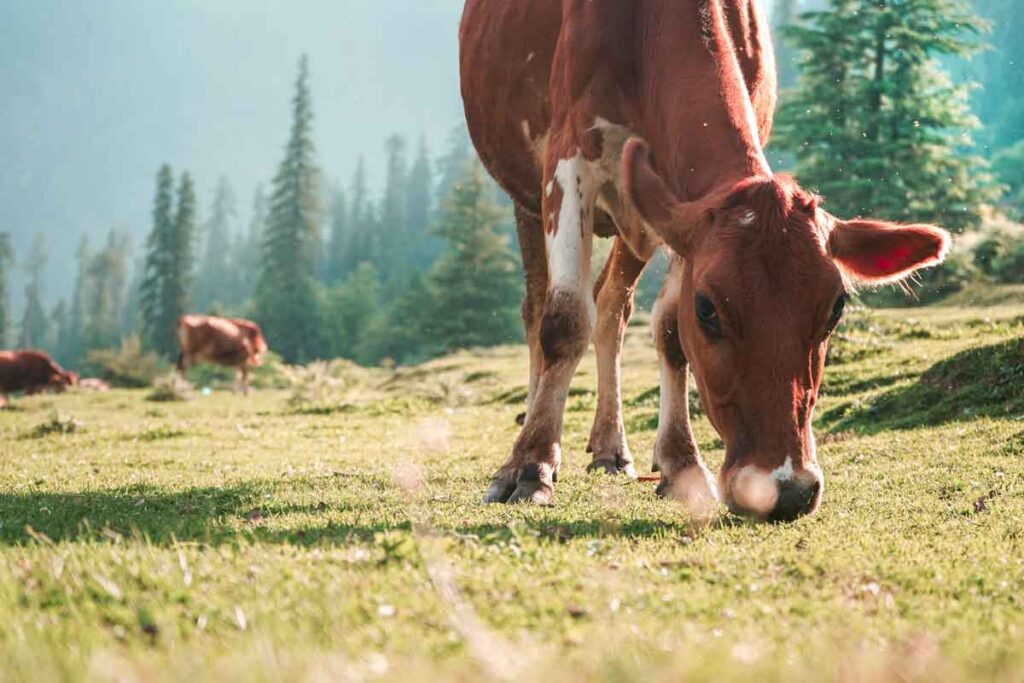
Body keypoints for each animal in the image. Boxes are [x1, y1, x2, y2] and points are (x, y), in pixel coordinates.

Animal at [460, 0, 946, 520]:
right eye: (709, 310)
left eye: (836, 308)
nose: (787, 490)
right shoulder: (568, 156)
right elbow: (565, 321)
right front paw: (530, 466)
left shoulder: (680, 208)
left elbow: (670, 332)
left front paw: (682, 464)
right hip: (525, 193)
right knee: (537, 311)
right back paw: (527, 439)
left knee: (611, 308)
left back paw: (612, 448)